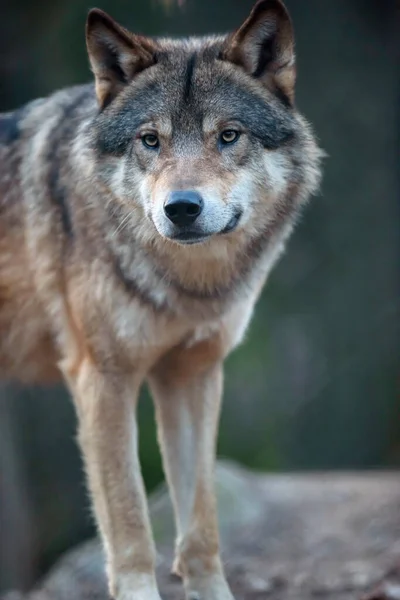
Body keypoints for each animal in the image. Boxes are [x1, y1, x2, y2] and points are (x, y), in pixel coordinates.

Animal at [0, 1, 322, 596]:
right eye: (150, 140)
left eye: (228, 136)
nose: (182, 208)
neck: (188, 287)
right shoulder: (102, 380)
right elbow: (130, 526)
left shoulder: (192, 375)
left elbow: (201, 522)